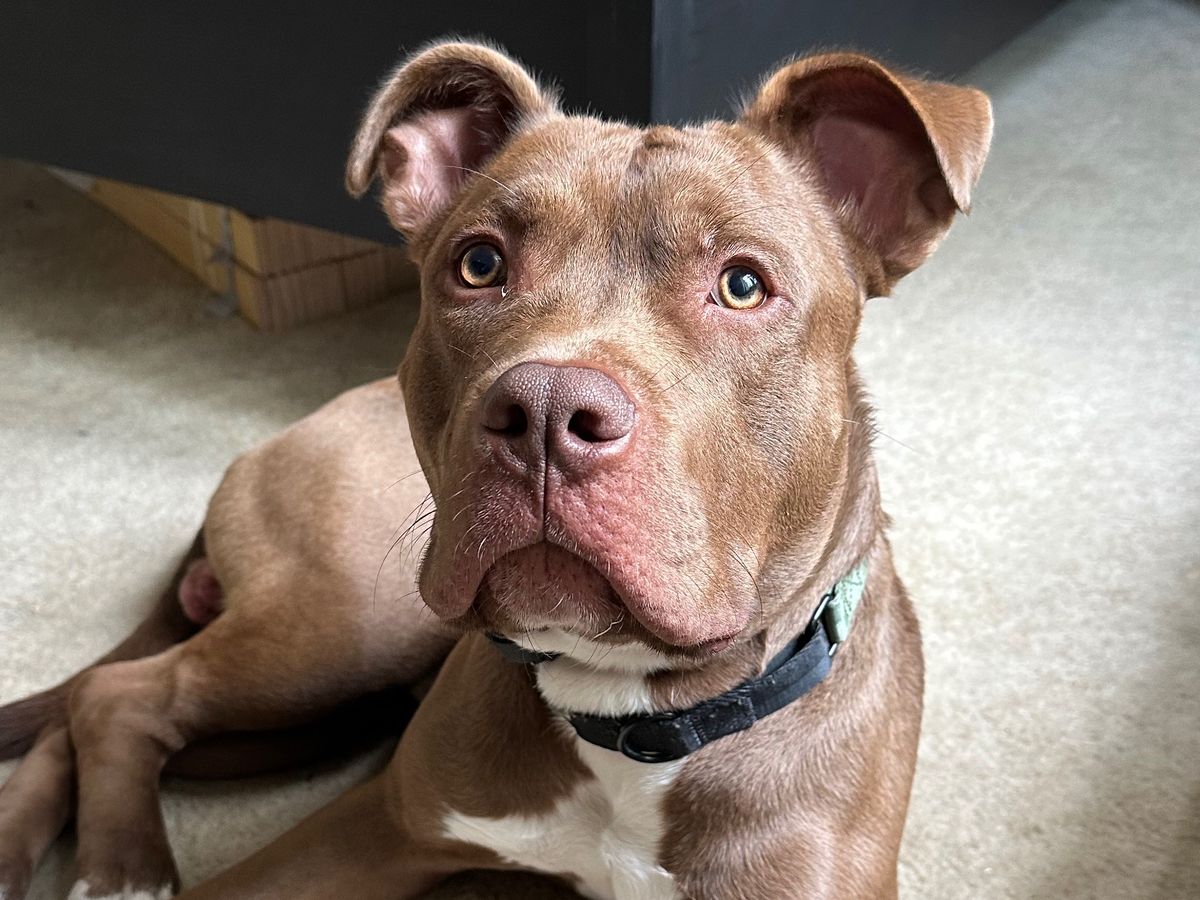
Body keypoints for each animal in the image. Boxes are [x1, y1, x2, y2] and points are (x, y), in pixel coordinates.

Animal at [0, 40, 991, 900]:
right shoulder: (366, 831)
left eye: (743, 285)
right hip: (348, 622)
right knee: (119, 692)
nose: (546, 410)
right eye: (479, 263)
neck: (627, 718)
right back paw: (117, 872)